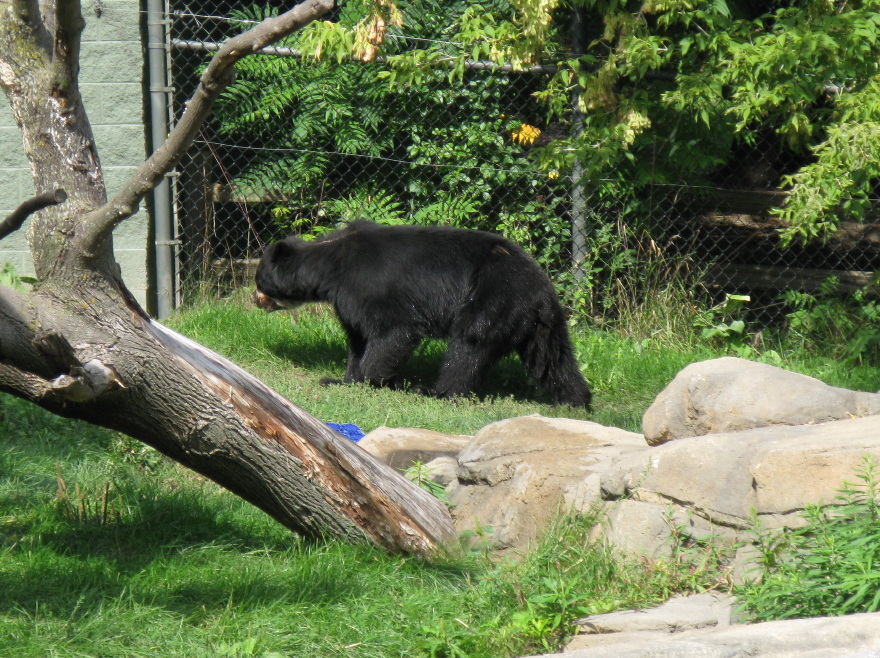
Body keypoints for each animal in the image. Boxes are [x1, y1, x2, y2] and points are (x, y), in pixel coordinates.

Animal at [258, 220, 596, 404]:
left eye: (260, 279)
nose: (256, 299)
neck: (331, 266)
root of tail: (541, 289)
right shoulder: (348, 300)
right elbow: (357, 337)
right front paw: (343, 379)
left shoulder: (370, 286)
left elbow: (392, 331)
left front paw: (372, 379)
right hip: (539, 322)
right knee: (552, 358)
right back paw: (576, 399)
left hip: (493, 298)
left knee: (468, 346)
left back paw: (436, 391)